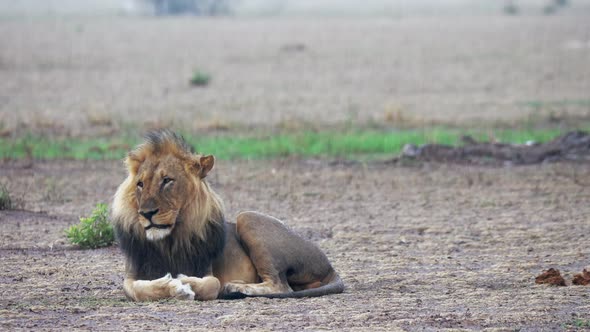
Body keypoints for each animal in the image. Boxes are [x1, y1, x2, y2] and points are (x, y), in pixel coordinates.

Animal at [112, 130, 344, 300]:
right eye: (140, 184)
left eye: (167, 180)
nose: (146, 213)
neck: (168, 242)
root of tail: (329, 266)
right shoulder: (132, 274)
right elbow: (136, 289)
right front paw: (172, 285)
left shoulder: (205, 268)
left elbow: (212, 284)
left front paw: (184, 283)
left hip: (247, 217)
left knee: (281, 286)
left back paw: (234, 287)